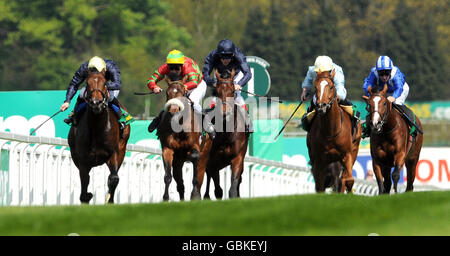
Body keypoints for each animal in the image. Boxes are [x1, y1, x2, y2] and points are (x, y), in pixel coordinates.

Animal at [67, 70, 131, 204]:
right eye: (87, 83)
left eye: (105, 83)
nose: (96, 103)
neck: (97, 128)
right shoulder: (82, 158)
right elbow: (85, 179)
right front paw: (87, 196)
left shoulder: (113, 152)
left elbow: (114, 178)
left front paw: (109, 200)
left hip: (122, 147)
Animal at [156, 71, 202, 200]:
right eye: (167, 93)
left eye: (183, 93)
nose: (174, 109)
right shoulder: (168, 150)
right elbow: (168, 176)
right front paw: (165, 198)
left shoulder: (195, 146)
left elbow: (195, 158)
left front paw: (195, 194)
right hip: (178, 162)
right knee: (180, 184)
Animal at [194, 69, 250, 199]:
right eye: (217, 92)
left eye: (232, 91)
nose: (225, 113)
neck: (227, 134)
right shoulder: (212, 160)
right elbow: (217, 188)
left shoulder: (238, 158)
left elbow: (234, 184)